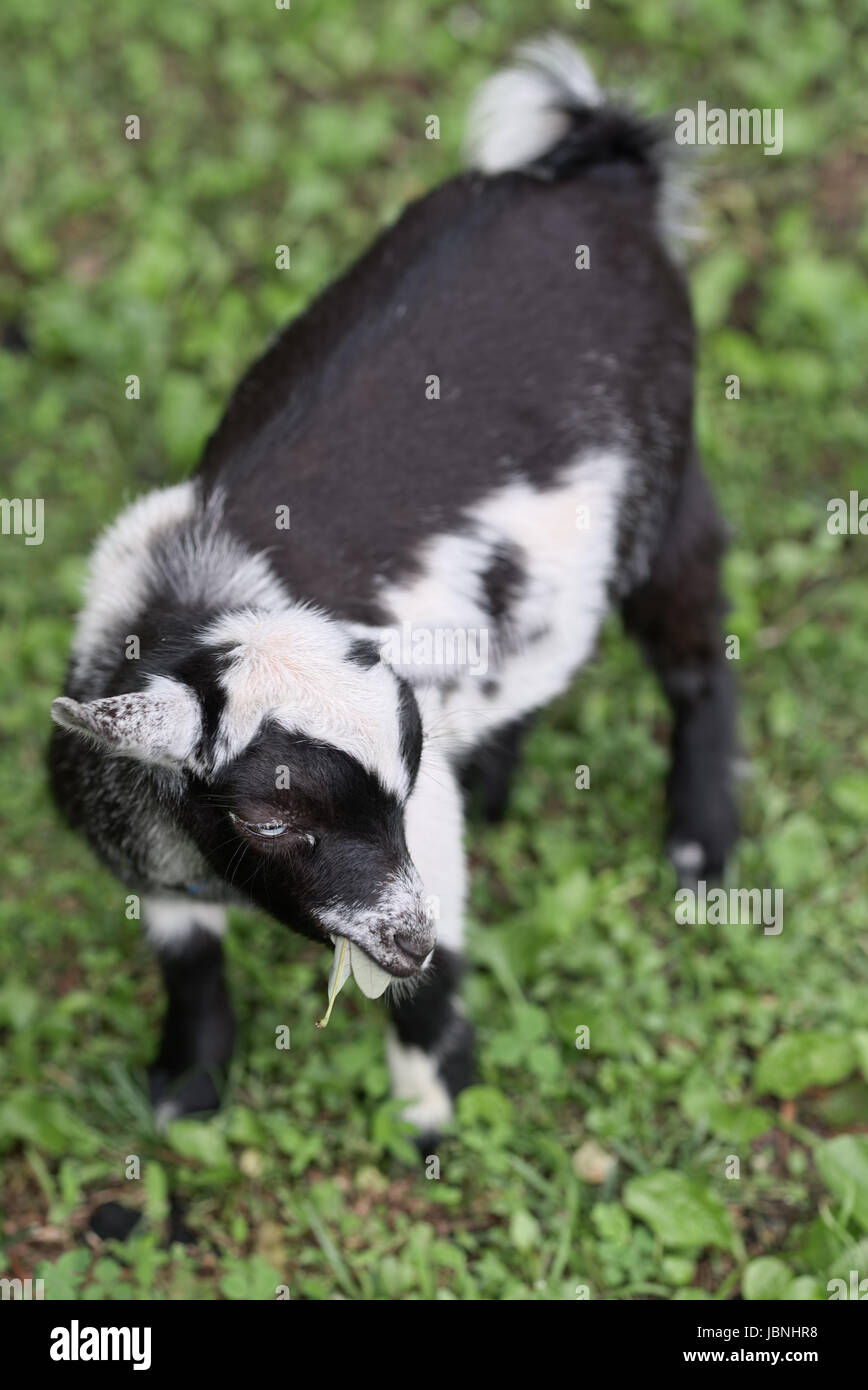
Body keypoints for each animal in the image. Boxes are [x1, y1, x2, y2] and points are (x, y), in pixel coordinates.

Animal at [49, 40, 740, 1139]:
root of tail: (597, 167)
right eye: (271, 819)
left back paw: (697, 842)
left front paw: (431, 1098)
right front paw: (188, 1089)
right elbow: (187, 956)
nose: (403, 941)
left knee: (695, 645)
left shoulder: (426, 829)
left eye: (399, 788)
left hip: (665, 479)